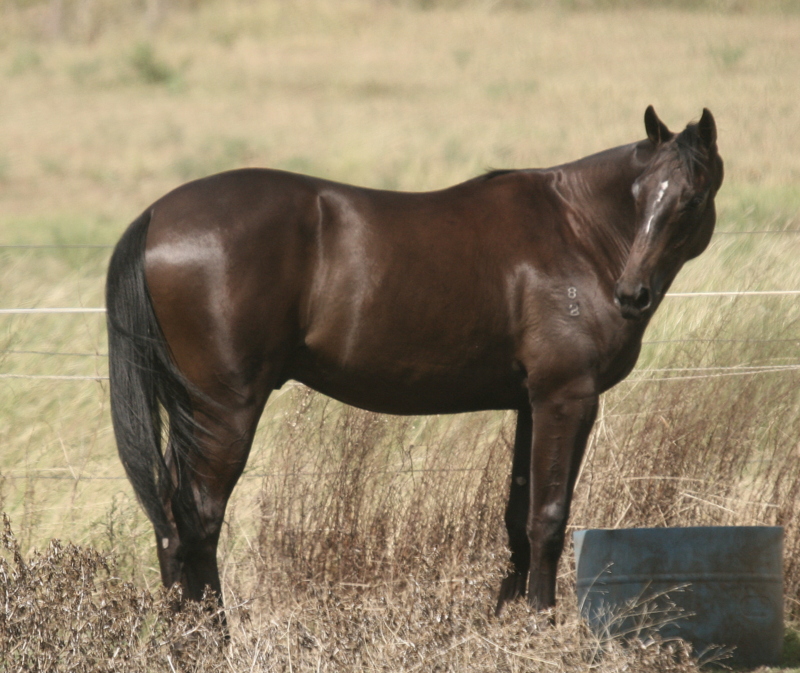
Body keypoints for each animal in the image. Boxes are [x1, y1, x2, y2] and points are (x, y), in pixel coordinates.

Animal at [106, 106, 723, 619]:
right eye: (641, 195)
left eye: (689, 199)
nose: (632, 294)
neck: (575, 230)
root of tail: (156, 214)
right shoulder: (567, 398)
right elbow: (548, 518)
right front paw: (541, 622)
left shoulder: (531, 404)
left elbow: (517, 519)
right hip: (224, 412)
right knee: (199, 520)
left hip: (191, 412)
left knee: (169, 522)